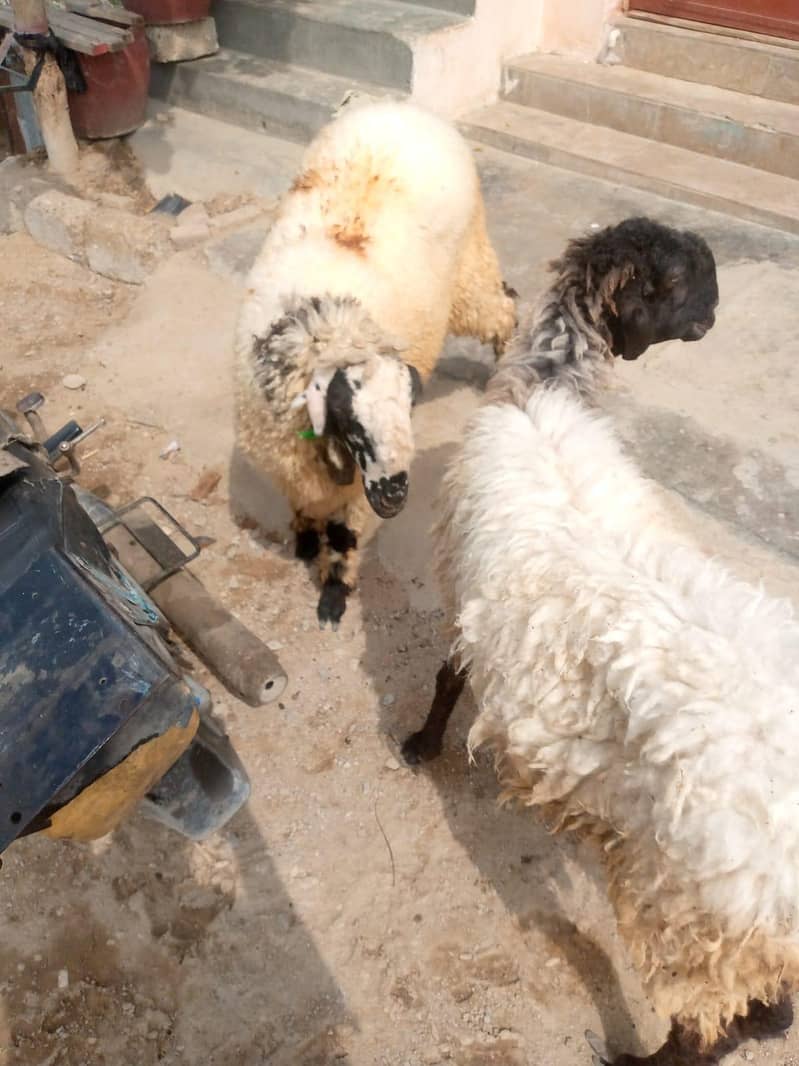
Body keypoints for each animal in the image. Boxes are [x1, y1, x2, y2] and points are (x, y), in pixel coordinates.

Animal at [234, 100, 517, 628]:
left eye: (409, 411)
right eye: (350, 423)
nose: (394, 496)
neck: (329, 323)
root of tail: (405, 108)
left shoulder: (354, 499)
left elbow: (343, 539)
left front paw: (333, 598)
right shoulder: (290, 466)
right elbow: (303, 511)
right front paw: (305, 544)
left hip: (468, 270)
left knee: (503, 307)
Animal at [400, 217, 799, 1064]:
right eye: (682, 279)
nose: (714, 317)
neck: (547, 386)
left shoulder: (468, 594)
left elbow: (448, 678)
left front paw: (419, 743)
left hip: (689, 912)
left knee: (701, 1028)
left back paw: (631, 1055)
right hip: (732, 936)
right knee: (764, 1014)